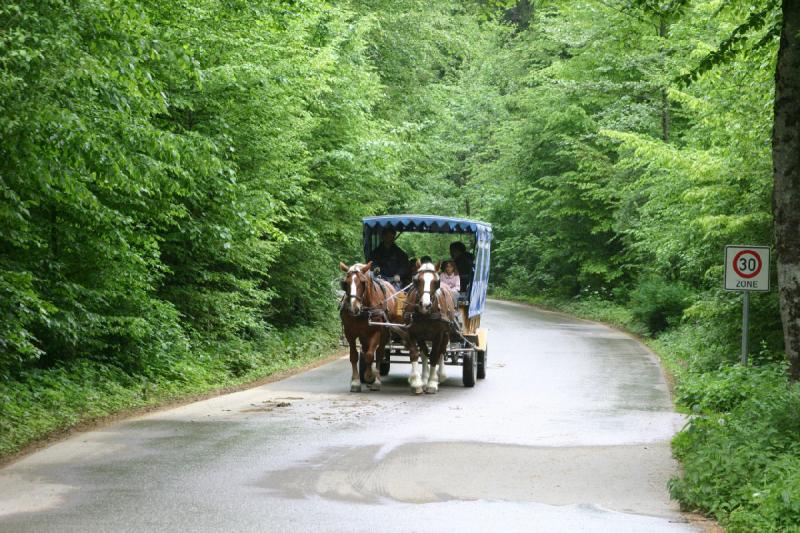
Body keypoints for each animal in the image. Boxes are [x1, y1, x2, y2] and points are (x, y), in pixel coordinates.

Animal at [340, 260, 398, 390]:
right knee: (365, 351)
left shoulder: (377, 332)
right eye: (345, 283)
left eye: (363, 282)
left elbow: (371, 355)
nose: (353, 308)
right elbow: (354, 356)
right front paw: (356, 381)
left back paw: (376, 379)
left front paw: (369, 376)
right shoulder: (350, 333)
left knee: (379, 353)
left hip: (384, 334)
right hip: (363, 335)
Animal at [404, 260, 454, 392]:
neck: (426, 315)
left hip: (446, 333)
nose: (425, 305)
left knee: (442, 351)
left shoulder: (439, 334)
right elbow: (415, 353)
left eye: (436, 282)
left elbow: (434, 355)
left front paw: (432, 382)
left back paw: (440, 375)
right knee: (424, 353)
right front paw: (417, 382)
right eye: (416, 280)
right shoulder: (412, 332)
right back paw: (424, 378)